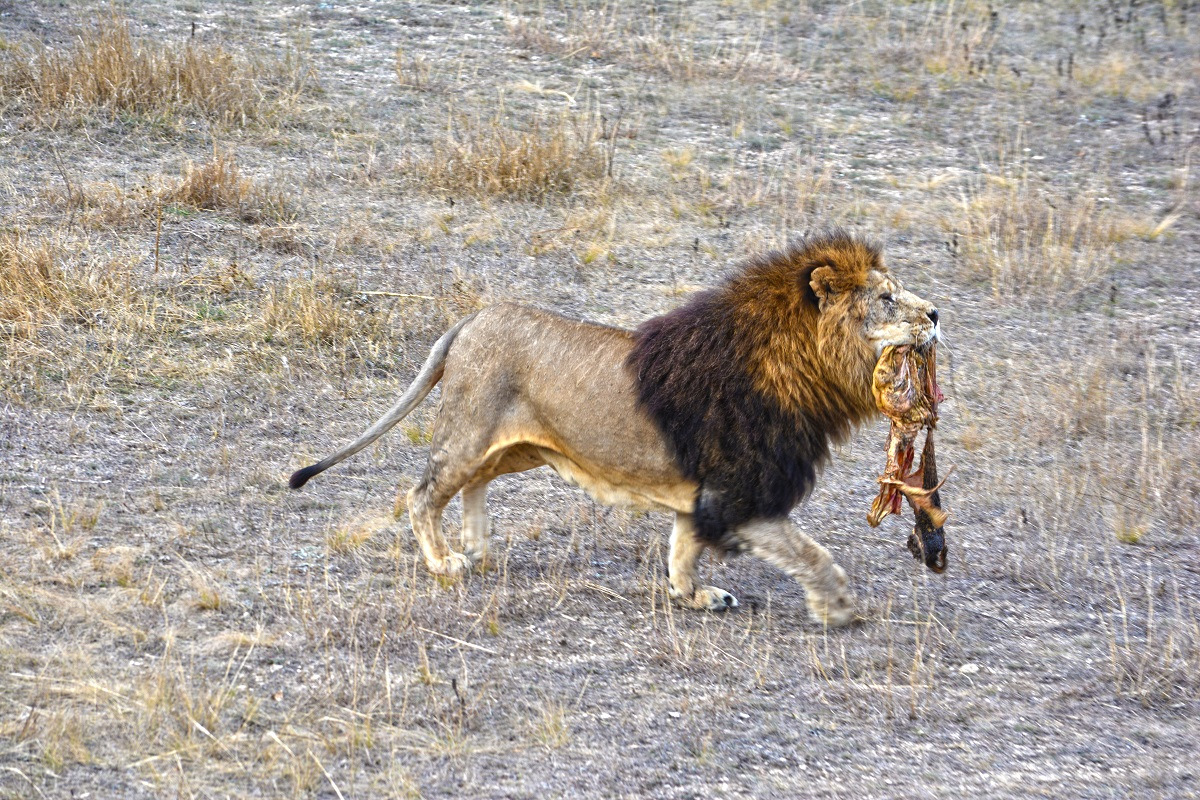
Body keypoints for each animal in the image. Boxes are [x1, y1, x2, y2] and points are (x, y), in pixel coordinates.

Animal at [290, 231, 936, 623]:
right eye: (886, 299)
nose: (935, 313)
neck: (800, 367)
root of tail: (471, 319)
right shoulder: (742, 496)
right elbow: (810, 551)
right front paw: (839, 606)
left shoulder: (706, 494)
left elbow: (682, 550)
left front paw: (695, 596)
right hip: (470, 432)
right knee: (422, 492)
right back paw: (446, 562)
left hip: (519, 446)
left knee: (473, 483)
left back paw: (480, 548)